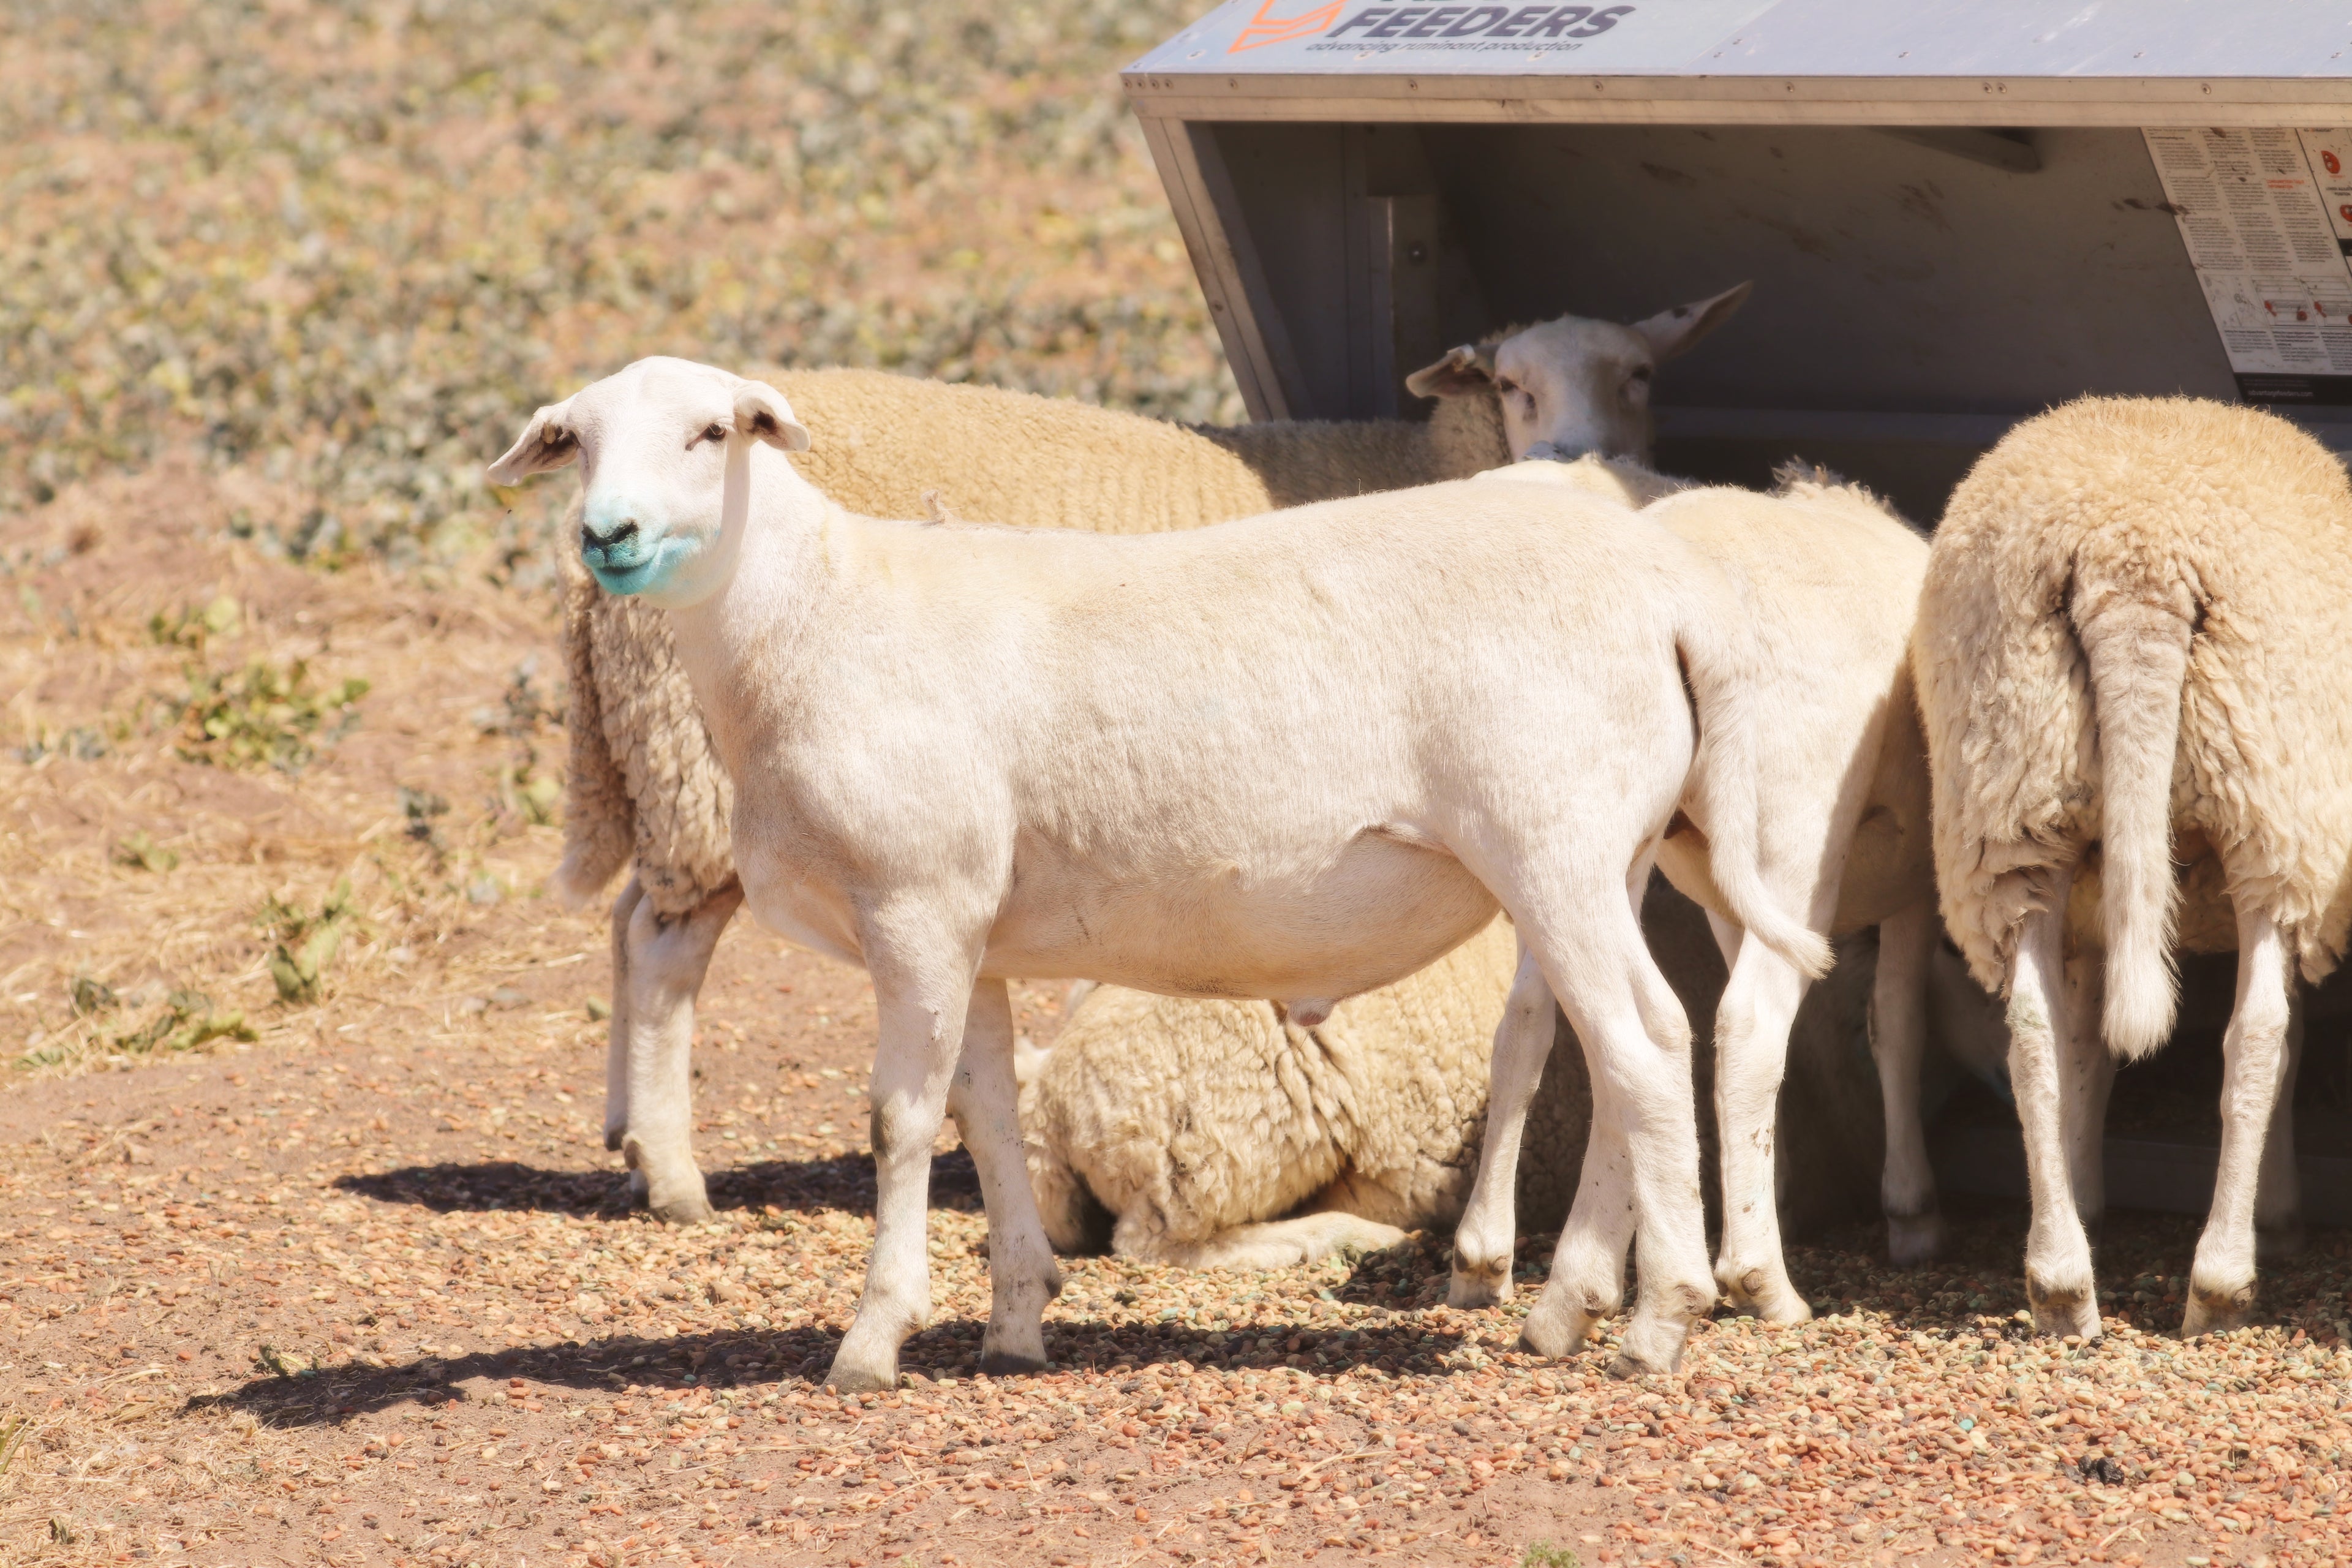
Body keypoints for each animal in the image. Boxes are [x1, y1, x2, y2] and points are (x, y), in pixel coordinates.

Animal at [487, 354, 1824, 1389]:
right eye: (576, 442)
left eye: (712, 432)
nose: (608, 537)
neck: (817, 615)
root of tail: (1662, 601)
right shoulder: (970, 924)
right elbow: (987, 1112)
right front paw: (1016, 1320)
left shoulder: (913, 903)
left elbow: (900, 1120)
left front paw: (872, 1339)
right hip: (1614, 851)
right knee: (1634, 1037)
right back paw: (1572, 1306)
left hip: (1553, 842)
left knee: (1641, 1046)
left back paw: (1660, 1321)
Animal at [1912, 395, 2352, 1340]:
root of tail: (2131, 564)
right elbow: (2287, 1035)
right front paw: (2281, 1216)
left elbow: (2084, 1045)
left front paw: (2088, 1193)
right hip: (2274, 803)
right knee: (2256, 1035)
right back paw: (2219, 1282)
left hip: (2012, 800)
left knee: (2032, 1032)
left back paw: (2061, 1281)